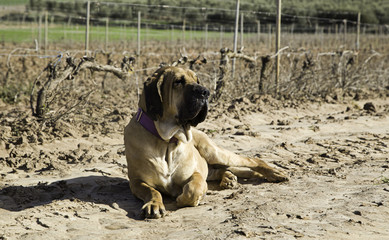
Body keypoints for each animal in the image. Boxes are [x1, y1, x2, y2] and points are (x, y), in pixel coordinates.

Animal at [124, 66, 288, 218]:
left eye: (197, 80)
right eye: (178, 81)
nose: (206, 92)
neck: (167, 141)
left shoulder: (195, 173)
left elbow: (194, 187)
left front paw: (183, 198)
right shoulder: (136, 182)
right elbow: (152, 191)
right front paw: (154, 204)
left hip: (214, 152)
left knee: (252, 160)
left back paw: (275, 172)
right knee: (217, 171)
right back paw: (228, 178)